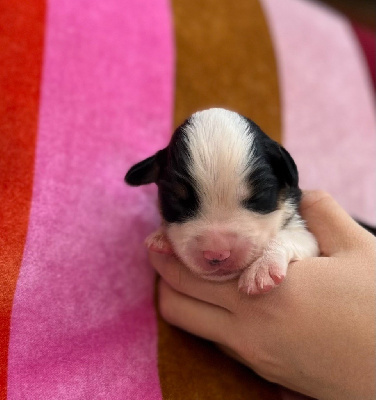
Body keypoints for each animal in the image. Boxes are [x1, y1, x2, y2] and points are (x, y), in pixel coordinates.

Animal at [125, 108, 318, 294]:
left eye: (259, 196)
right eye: (175, 200)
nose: (217, 254)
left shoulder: (306, 236)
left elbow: (291, 237)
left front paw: (262, 268)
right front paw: (161, 237)